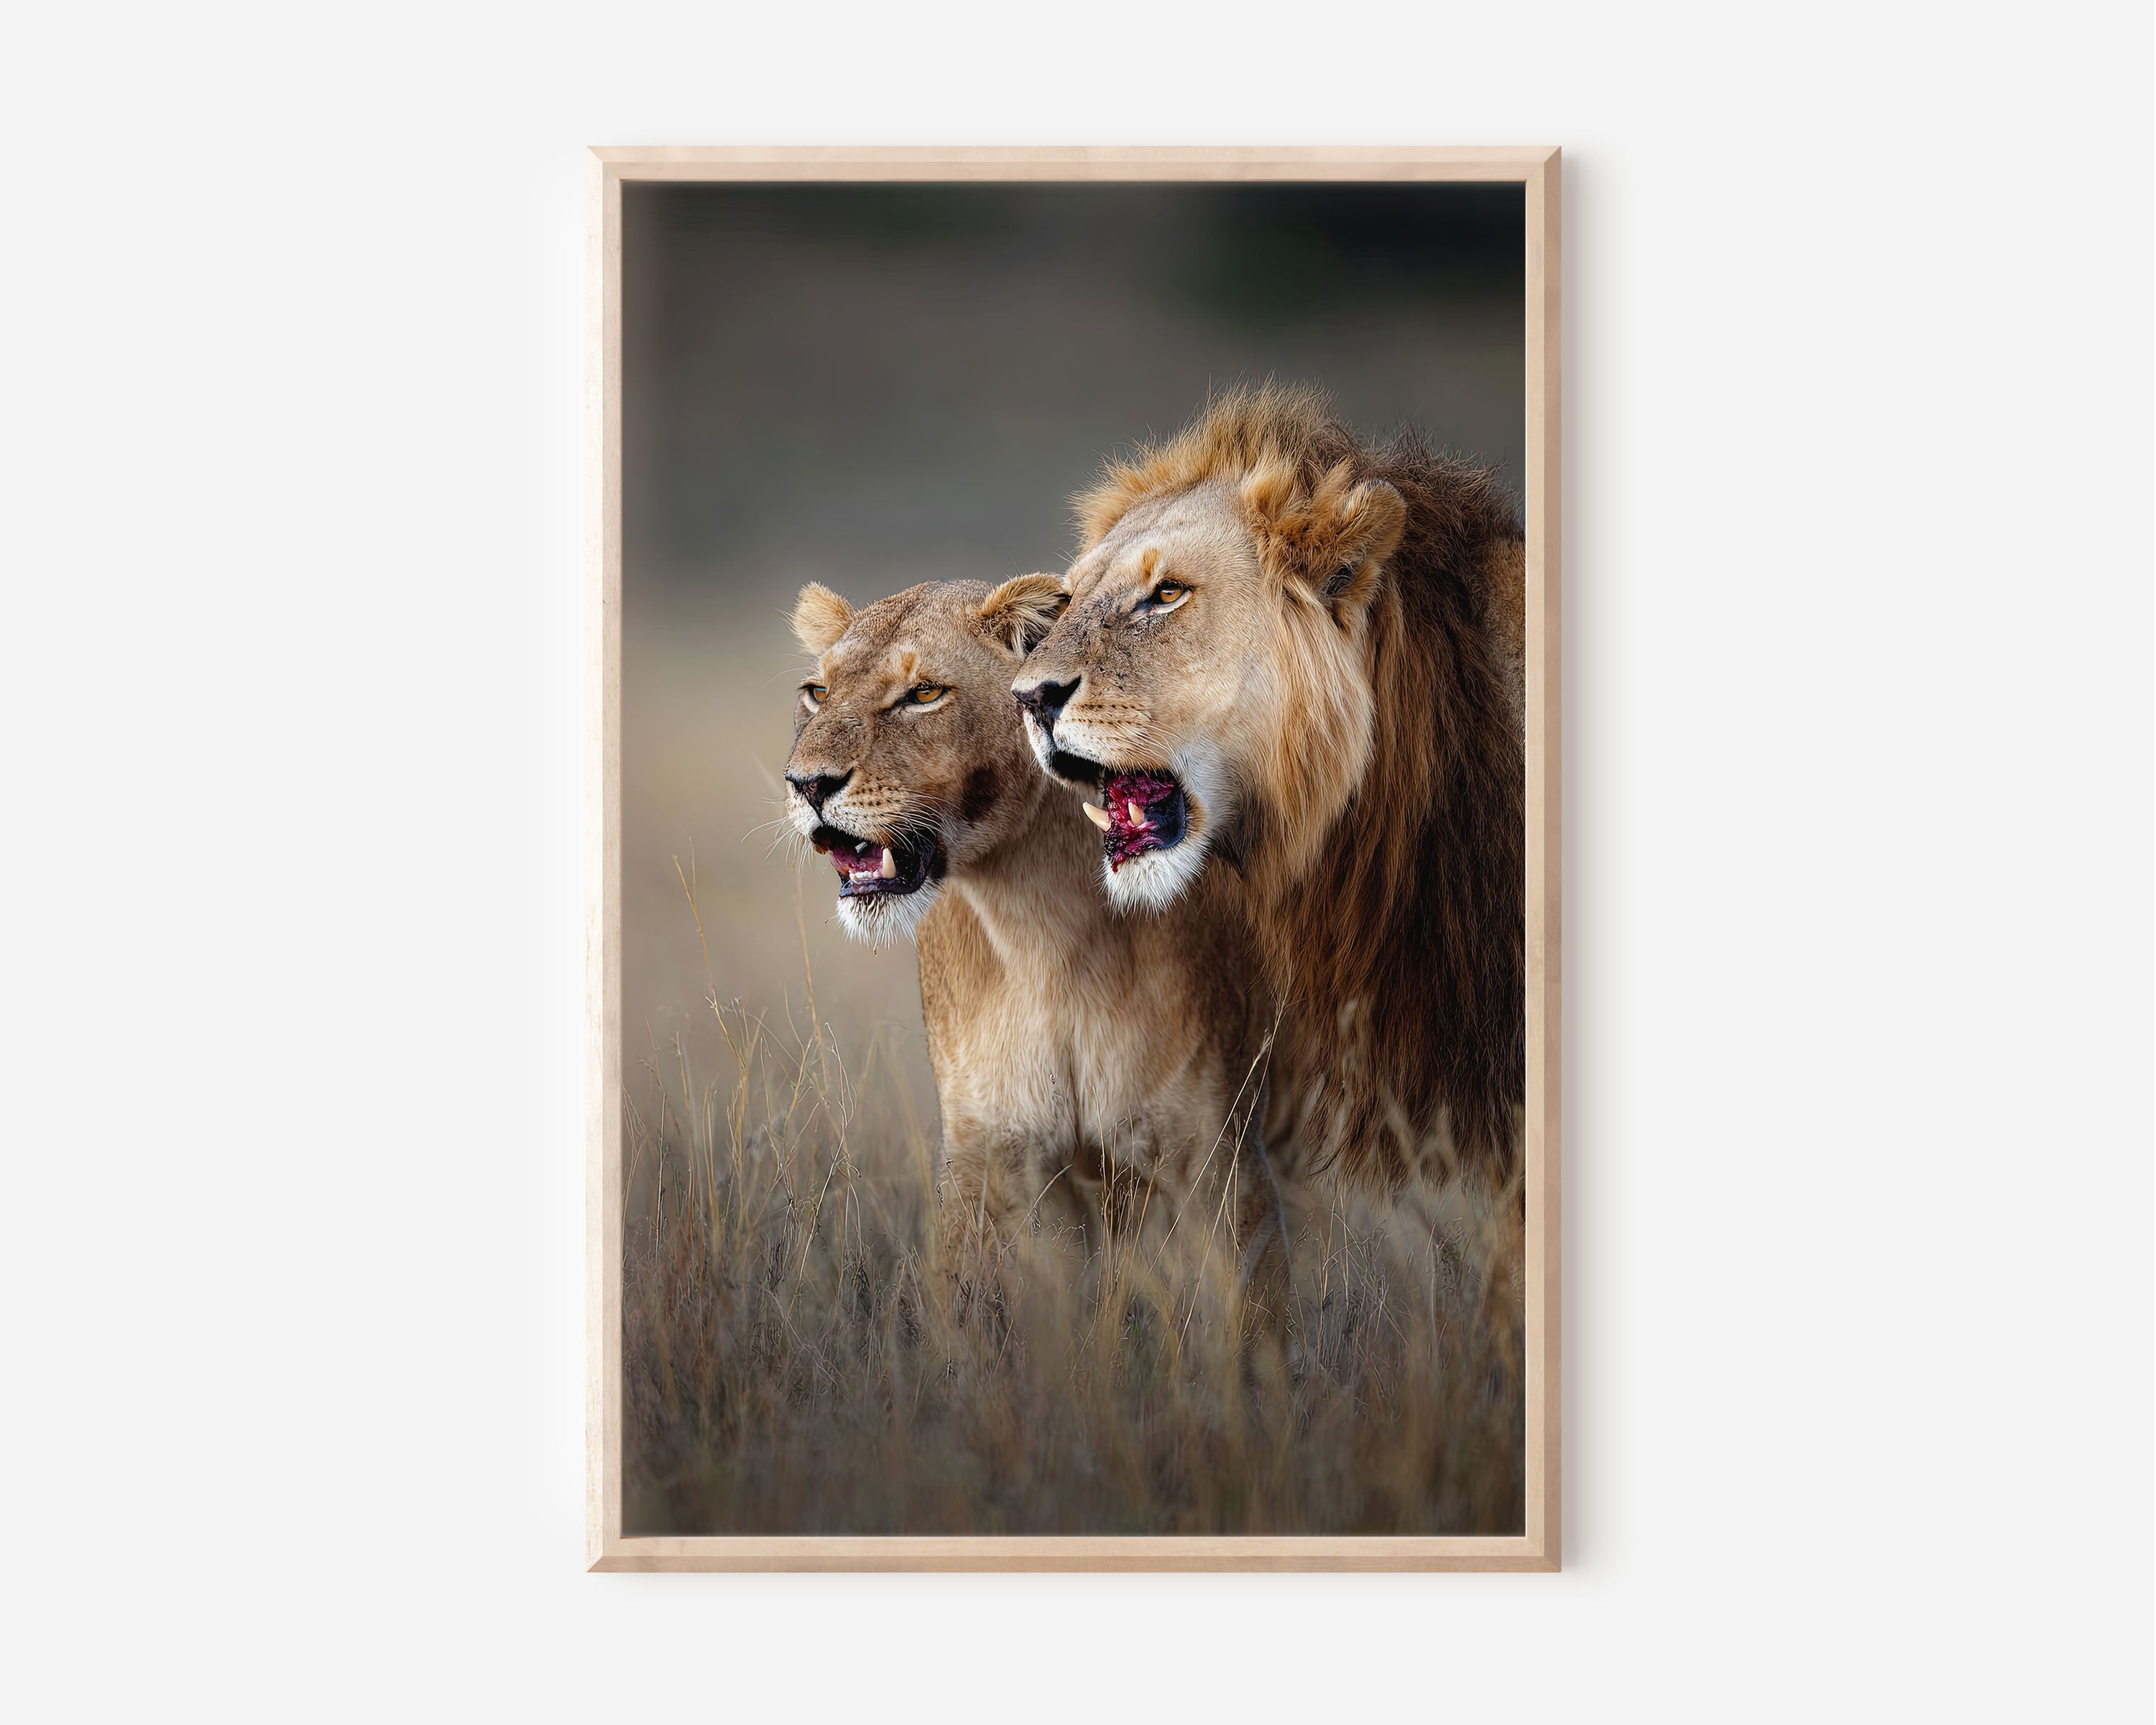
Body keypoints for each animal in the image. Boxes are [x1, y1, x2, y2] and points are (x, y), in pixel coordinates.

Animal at [781, 575, 1292, 1337]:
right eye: (817, 692)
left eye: (924, 694)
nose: (807, 785)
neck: (1040, 931)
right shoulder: (993, 1159)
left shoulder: (1221, 1161)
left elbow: (1252, 1334)